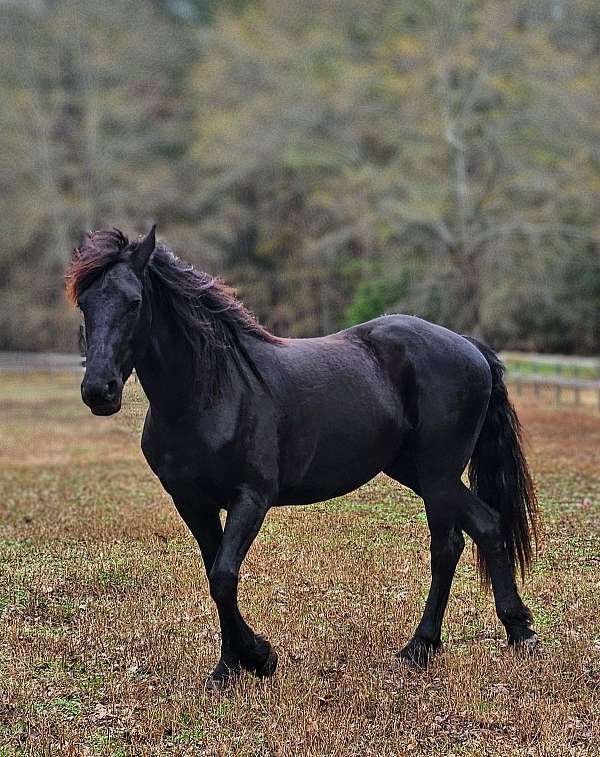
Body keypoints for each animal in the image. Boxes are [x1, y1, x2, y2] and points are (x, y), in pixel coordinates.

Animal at [65, 226, 540, 692]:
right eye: (85, 303)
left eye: (134, 302)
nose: (99, 391)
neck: (211, 394)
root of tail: (468, 346)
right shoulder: (193, 503)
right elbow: (215, 575)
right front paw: (230, 668)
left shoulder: (251, 499)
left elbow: (224, 576)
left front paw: (259, 658)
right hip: (418, 472)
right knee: (483, 526)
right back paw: (512, 633)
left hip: (438, 473)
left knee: (449, 544)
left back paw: (425, 647)